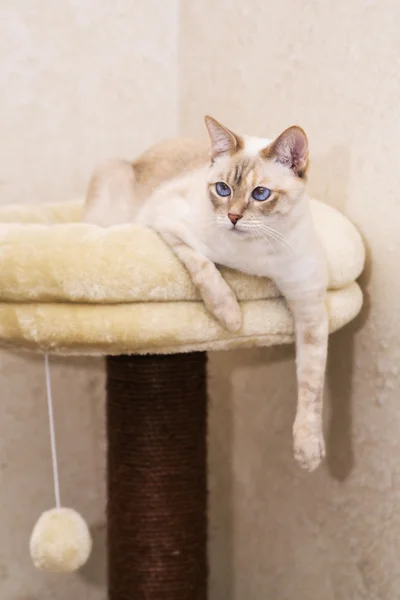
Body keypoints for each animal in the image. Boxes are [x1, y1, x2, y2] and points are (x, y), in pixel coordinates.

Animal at [84, 117, 328, 474]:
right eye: (222, 189)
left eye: (260, 194)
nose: (233, 217)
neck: (254, 257)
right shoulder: (167, 224)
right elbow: (205, 269)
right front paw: (231, 317)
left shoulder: (310, 309)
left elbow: (311, 385)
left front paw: (308, 451)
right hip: (109, 188)